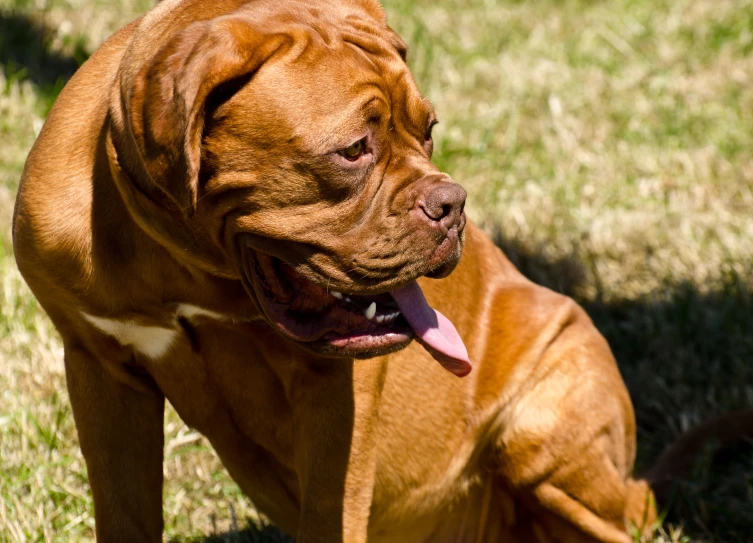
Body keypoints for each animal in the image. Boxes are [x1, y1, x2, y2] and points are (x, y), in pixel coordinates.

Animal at [13, 0, 656, 540]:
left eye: (428, 131)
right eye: (353, 150)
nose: (452, 204)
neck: (186, 265)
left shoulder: (335, 402)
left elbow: (330, 509)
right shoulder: (102, 371)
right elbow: (125, 511)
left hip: (541, 429)